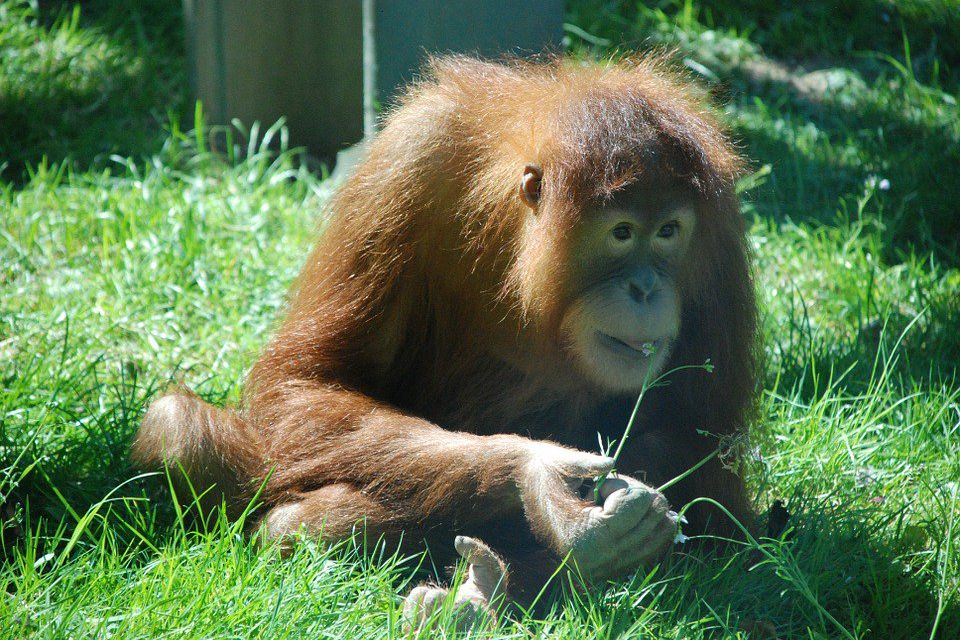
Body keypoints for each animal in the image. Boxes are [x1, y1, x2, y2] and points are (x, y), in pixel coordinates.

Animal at [133, 54, 758, 626]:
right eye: (622, 233)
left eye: (669, 232)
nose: (647, 288)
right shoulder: (411, 161)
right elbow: (308, 379)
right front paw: (541, 477)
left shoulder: (721, 223)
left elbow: (694, 434)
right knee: (180, 432)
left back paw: (485, 591)